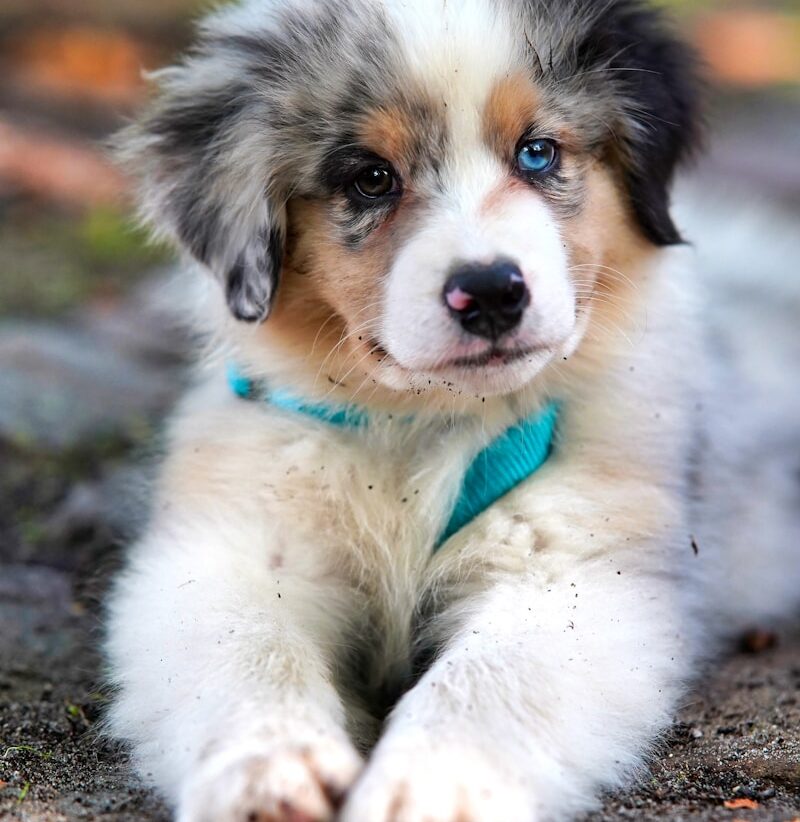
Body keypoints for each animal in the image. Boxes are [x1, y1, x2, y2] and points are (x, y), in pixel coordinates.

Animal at [104, 1, 800, 822]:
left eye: (538, 153)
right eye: (371, 178)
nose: (492, 291)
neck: (421, 425)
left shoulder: (579, 573)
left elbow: (489, 683)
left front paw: (430, 787)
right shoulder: (227, 547)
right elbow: (245, 652)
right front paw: (269, 769)